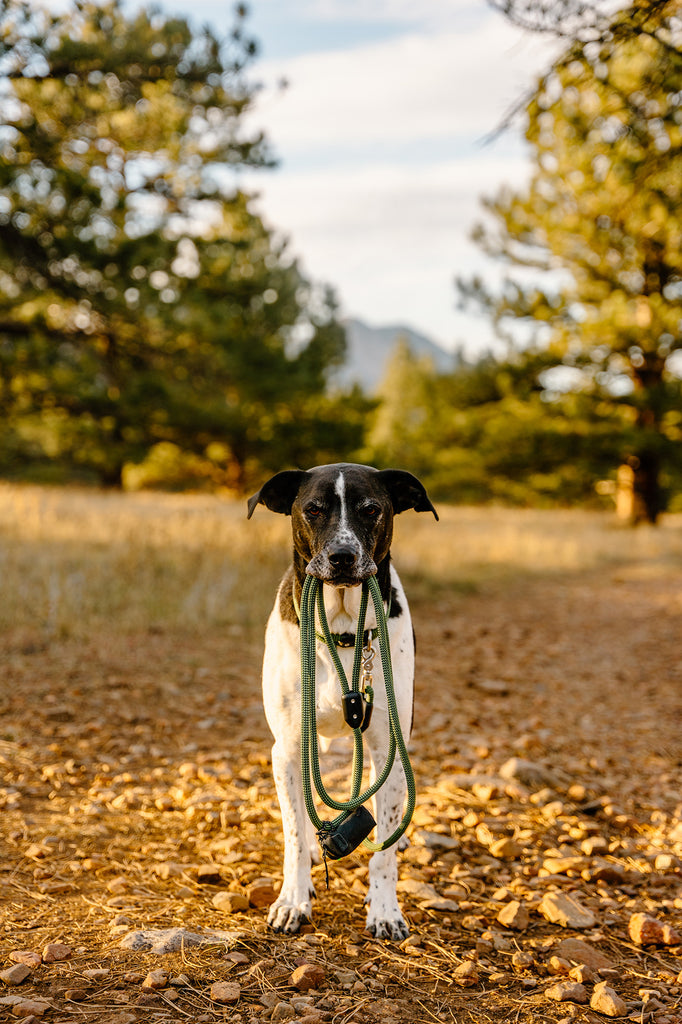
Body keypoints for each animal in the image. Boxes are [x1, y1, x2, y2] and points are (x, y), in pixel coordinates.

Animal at [248, 460, 436, 937]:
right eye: (313, 509)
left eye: (371, 509)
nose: (342, 557)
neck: (343, 630)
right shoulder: (289, 747)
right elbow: (295, 835)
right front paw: (293, 900)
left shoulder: (387, 743)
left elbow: (382, 849)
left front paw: (385, 909)